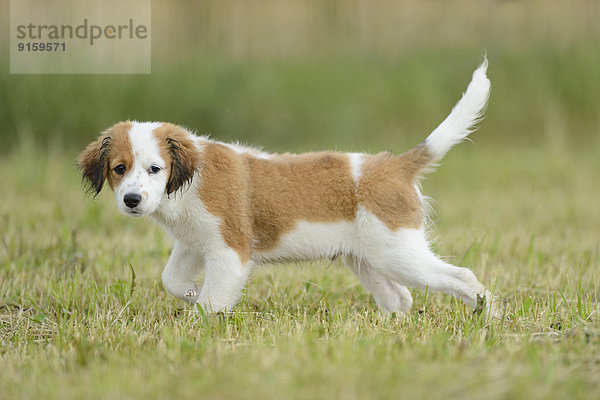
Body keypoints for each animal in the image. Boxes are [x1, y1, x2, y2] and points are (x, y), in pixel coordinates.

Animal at [79, 59, 502, 318]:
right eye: (119, 169)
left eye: (155, 169)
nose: (132, 200)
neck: (189, 182)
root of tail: (393, 164)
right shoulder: (193, 244)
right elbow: (172, 279)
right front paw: (191, 293)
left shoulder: (230, 251)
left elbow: (213, 302)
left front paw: (199, 324)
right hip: (368, 259)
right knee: (400, 297)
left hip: (399, 254)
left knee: (461, 277)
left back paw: (491, 316)